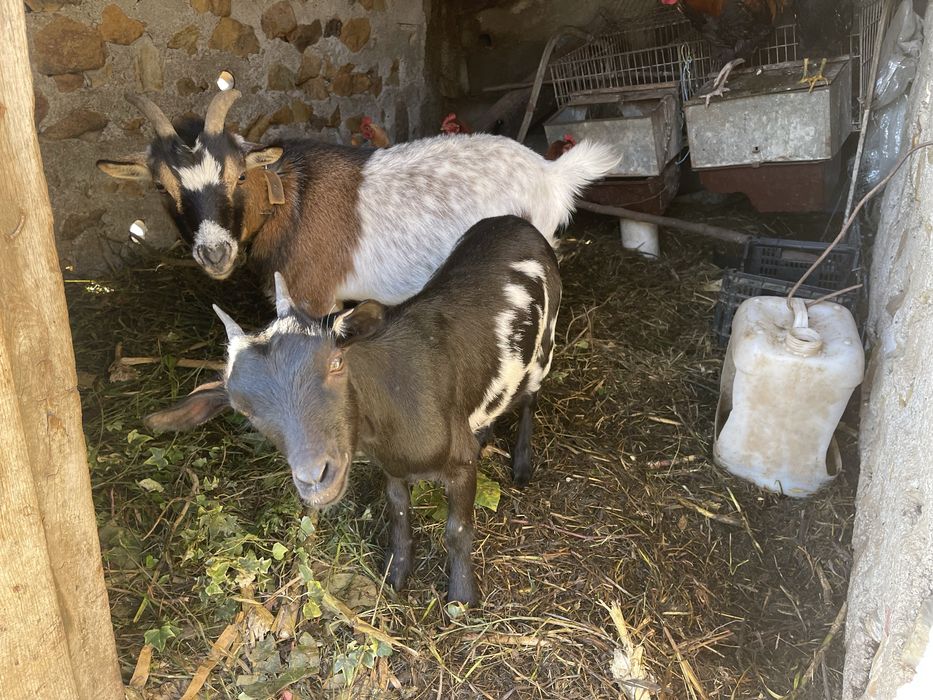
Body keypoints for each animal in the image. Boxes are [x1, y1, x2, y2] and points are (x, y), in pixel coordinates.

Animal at [98, 90, 615, 315]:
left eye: (238, 174)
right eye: (161, 187)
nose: (214, 252)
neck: (291, 202)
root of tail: (551, 174)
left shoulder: (310, 297)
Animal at [144, 215, 562, 605]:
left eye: (336, 363)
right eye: (244, 410)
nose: (315, 477)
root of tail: (515, 222)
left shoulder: (459, 463)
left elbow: (457, 530)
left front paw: (461, 597)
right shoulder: (391, 467)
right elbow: (398, 513)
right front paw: (397, 574)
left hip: (544, 346)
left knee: (530, 398)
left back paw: (522, 463)